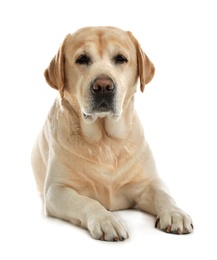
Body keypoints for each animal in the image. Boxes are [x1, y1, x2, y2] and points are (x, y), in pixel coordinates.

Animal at [31, 25, 193, 241]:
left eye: (120, 58)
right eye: (82, 59)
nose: (103, 86)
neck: (105, 140)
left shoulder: (148, 183)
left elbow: (164, 194)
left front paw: (175, 213)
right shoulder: (56, 190)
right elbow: (88, 202)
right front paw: (107, 220)